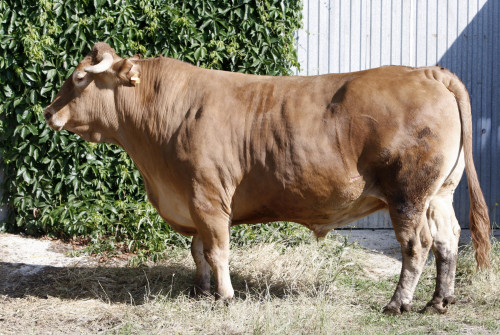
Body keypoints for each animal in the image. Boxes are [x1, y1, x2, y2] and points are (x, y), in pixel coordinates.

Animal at [45, 42, 490, 316]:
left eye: (80, 78)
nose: (48, 112)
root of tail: (427, 72)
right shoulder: (192, 198)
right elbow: (197, 250)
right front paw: (200, 290)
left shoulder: (208, 196)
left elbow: (217, 250)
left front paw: (225, 296)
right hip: (439, 193)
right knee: (448, 239)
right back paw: (439, 301)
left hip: (408, 194)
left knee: (417, 246)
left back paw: (398, 304)